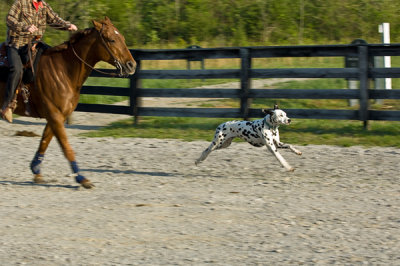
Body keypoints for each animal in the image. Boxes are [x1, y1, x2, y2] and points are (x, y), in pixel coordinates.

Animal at [0, 17, 136, 187]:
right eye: (111, 39)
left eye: (122, 38)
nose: (132, 65)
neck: (63, 70)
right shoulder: (55, 116)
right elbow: (66, 147)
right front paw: (82, 178)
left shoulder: (57, 116)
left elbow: (45, 141)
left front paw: (36, 171)